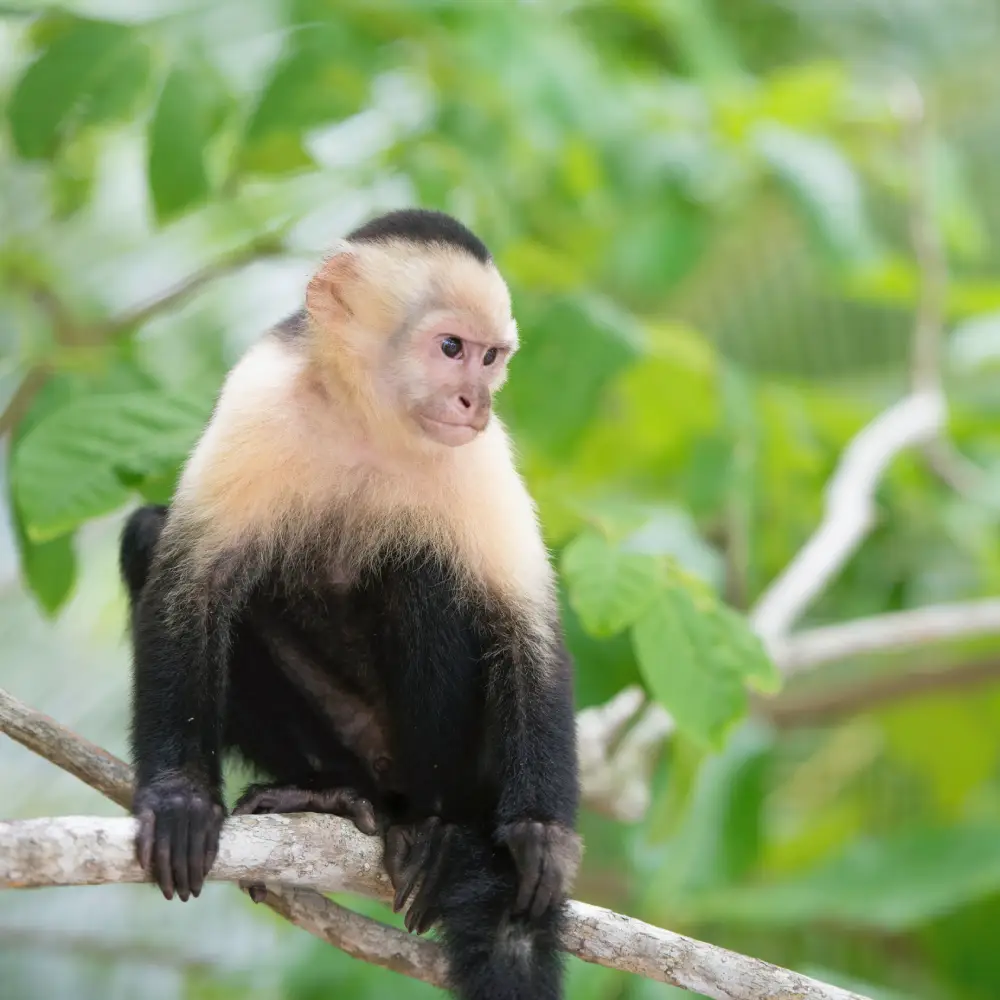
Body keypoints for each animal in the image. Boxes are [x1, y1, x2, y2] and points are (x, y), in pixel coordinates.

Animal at [120, 209, 582, 1000]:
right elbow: (190, 580)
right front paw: (180, 799)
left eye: (491, 358)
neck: (371, 423)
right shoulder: (258, 397)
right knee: (148, 538)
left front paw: (542, 833)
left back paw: (436, 827)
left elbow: (524, 623)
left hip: (476, 765)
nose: (477, 400)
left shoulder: (481, 454)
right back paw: (330, 795)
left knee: (423, 575)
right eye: (451, 348)